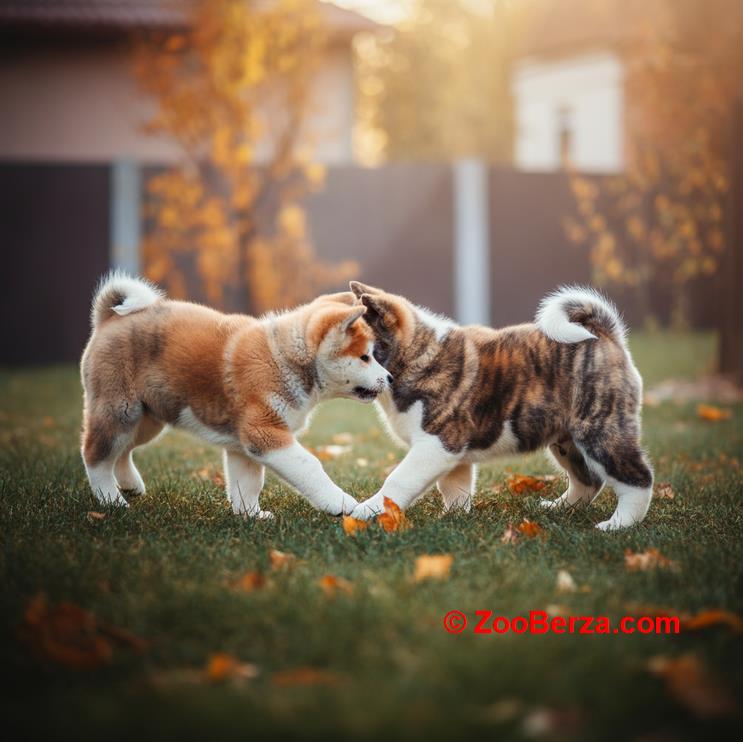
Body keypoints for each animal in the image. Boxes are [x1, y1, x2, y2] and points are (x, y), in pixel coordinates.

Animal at [348, 282, 652, 532]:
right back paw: (560, 508)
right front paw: (455, 519)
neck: (415, 353)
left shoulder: (435, 444)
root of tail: (605, 335)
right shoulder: (452, 453)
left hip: (598, 430)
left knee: (637, 478)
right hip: (567, 441)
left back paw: (619, 524)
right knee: (587, 480)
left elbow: (398, 480)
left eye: (363, 352)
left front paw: (368, 510)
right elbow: (455, 487)